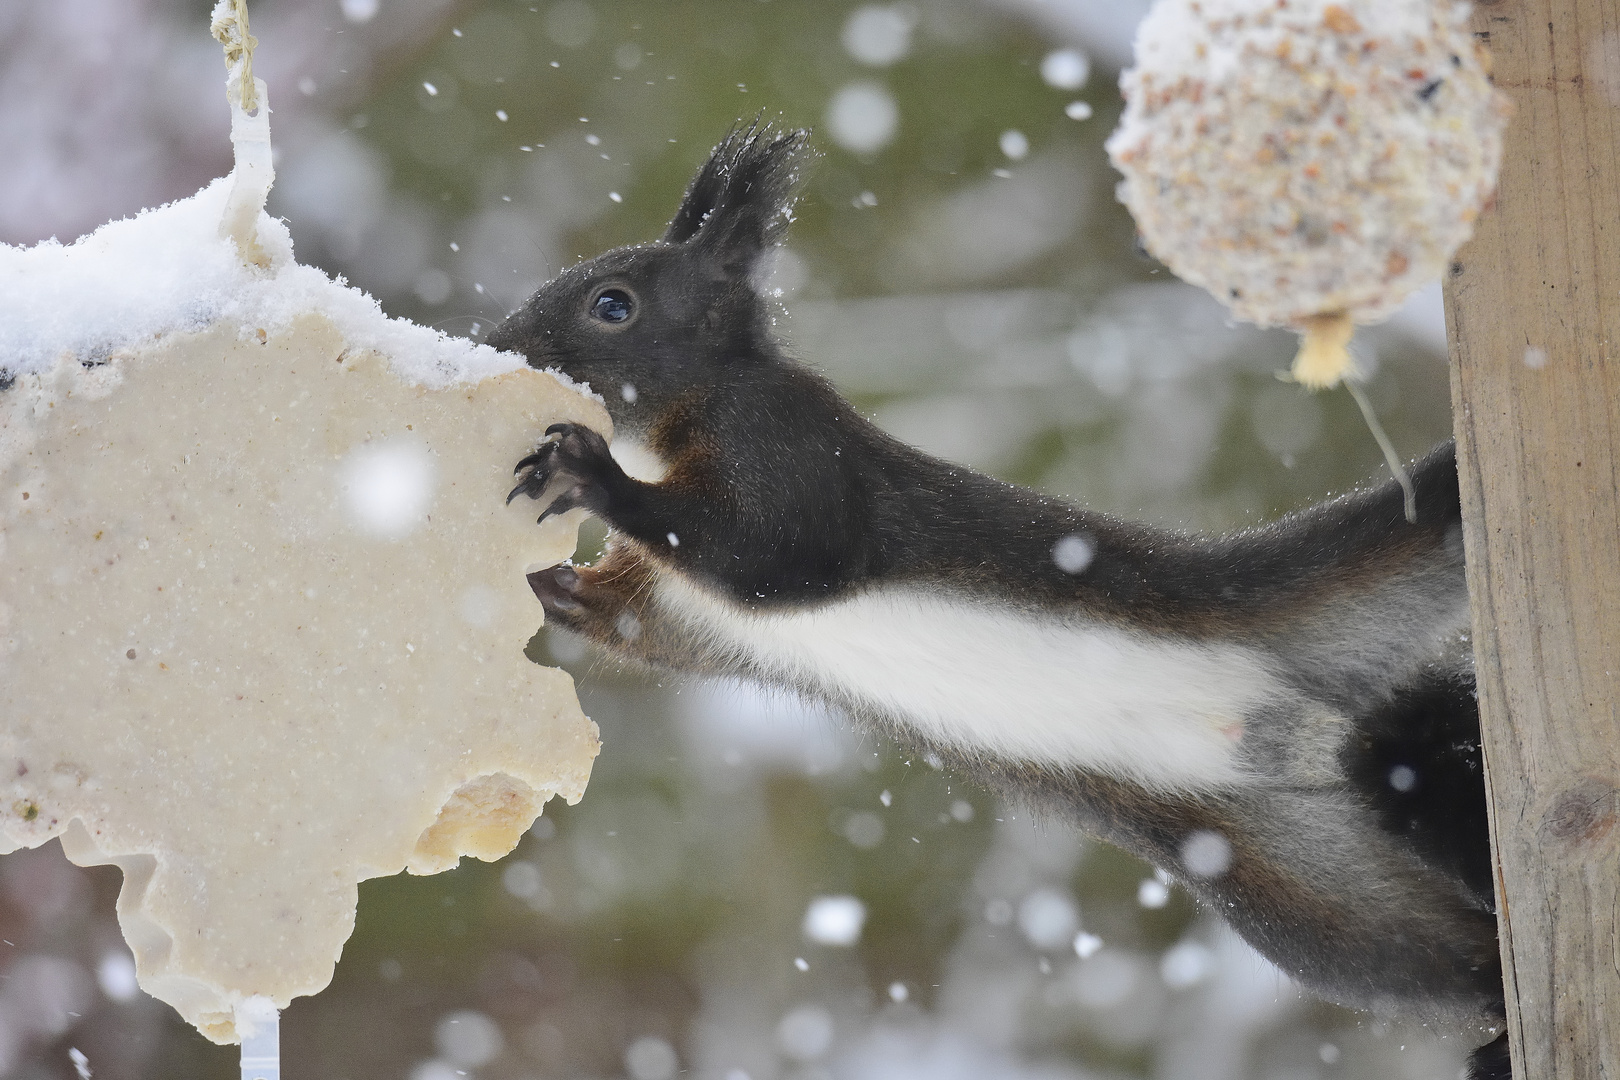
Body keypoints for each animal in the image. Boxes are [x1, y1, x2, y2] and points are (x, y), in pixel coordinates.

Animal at [486, 122, 1509, 1075]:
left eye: (612, 305)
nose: (499, 345)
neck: (669, 428)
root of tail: (1314, 730)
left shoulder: (784, 445)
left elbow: (785, 556)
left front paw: (587, 475)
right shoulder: (670, 603)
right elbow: (628, 619)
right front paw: (531, 584)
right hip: (1301, 893)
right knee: (1441, 958)